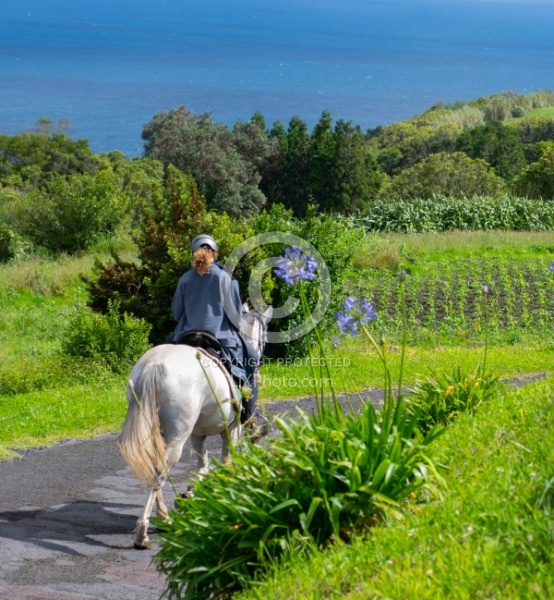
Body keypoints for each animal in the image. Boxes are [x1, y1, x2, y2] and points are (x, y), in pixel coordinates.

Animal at [119, 304, 272, 548]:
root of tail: (155, 365)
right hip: (178, 437)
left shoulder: (198, 436)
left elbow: (204, 465)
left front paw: (192, 492)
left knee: (155, 466)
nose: (260, 359)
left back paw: (164, 517)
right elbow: (225, 462)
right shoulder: (232, 430)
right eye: (264, 337)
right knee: (160, 472)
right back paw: (143, 532)